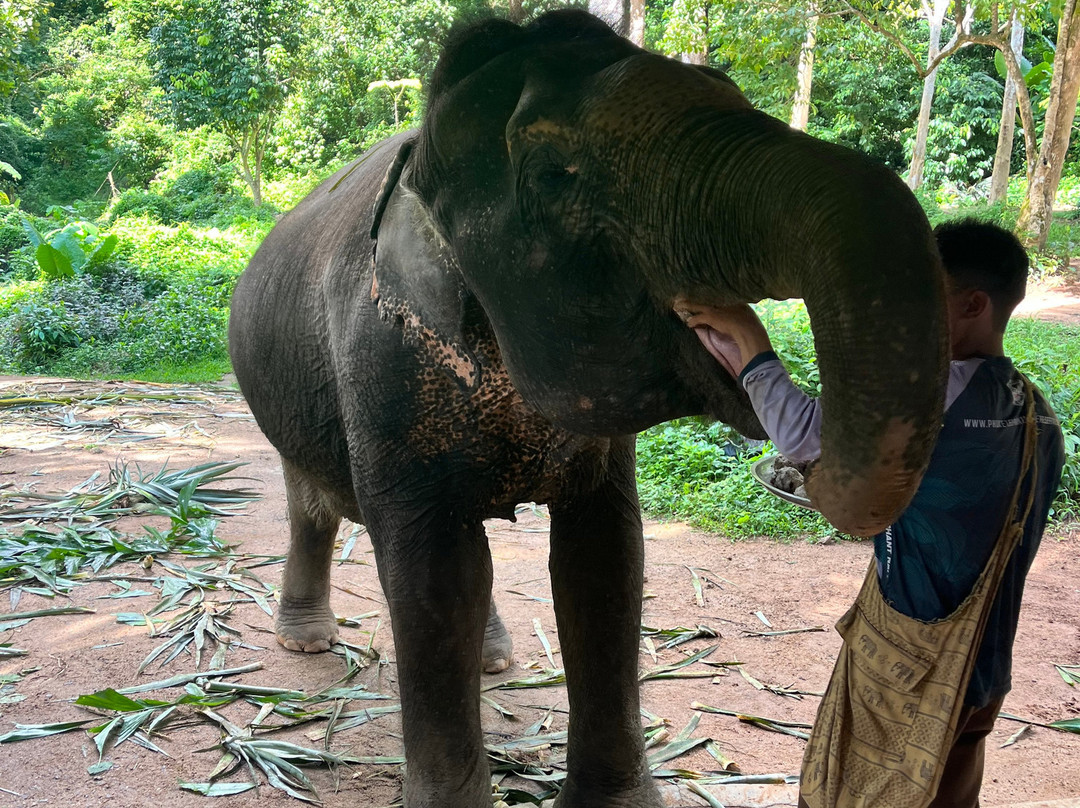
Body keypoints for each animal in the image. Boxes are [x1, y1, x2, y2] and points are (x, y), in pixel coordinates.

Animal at [228, 10, 947, 808]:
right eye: (553, 175)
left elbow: (604, 559)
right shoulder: (383, 368)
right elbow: (433, 574)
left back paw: (492, 661)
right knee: (314, 507)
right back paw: (307, 641)